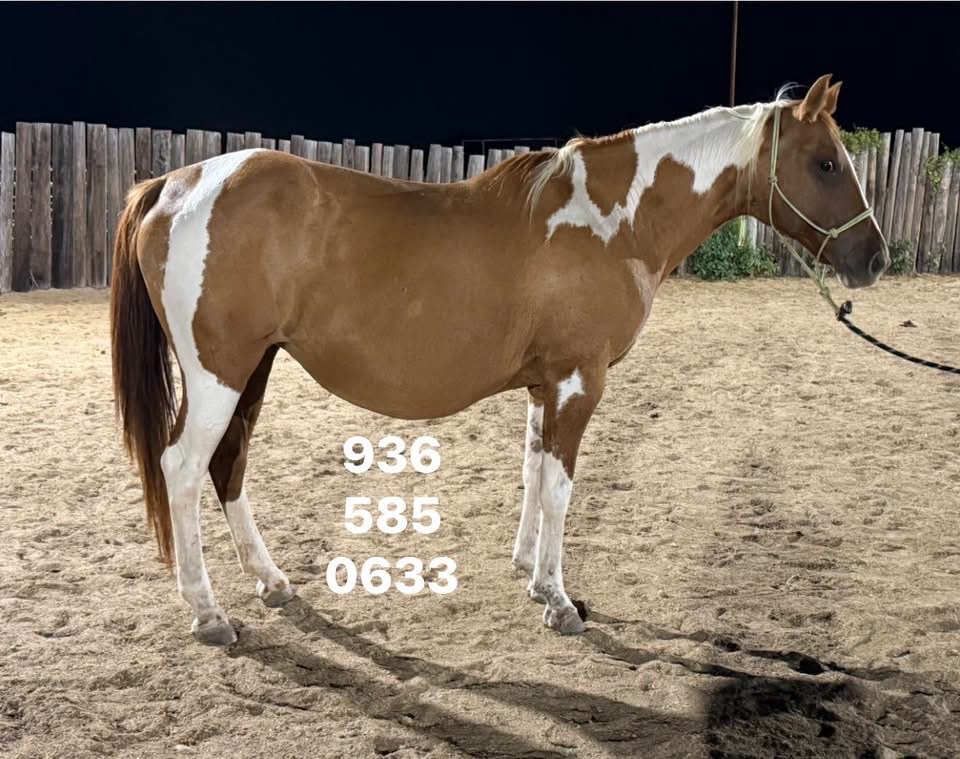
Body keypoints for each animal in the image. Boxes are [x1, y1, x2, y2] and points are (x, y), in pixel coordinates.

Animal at [110, 74, 888, 646]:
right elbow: (561, 487)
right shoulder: (580, 381)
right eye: (826, 163)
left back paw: (270, 581)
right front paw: (561, 603)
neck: (612, 221)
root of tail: (177, 184)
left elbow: (533, 472)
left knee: (229, 464)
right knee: (184, 467)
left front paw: (534, 576)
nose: (873, 258)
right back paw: (209, 613)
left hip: (254, 368)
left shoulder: (546, 385)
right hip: (218, 373)